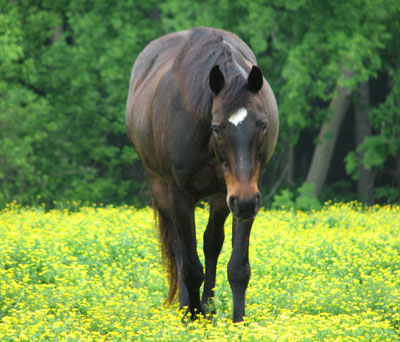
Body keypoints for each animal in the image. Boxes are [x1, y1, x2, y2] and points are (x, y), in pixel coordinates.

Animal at [126, 27, 280, 324]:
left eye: (263, 125)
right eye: (217, 128)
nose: (245, 202)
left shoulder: (239, 194)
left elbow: (238, 267)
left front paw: (238, 322)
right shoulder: (181, 195)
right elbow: (190, 266)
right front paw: (192, 317)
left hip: (223, 196)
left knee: (212, 243)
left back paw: (209, 307)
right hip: (161, 186)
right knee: (178, 247)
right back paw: (189, 307)